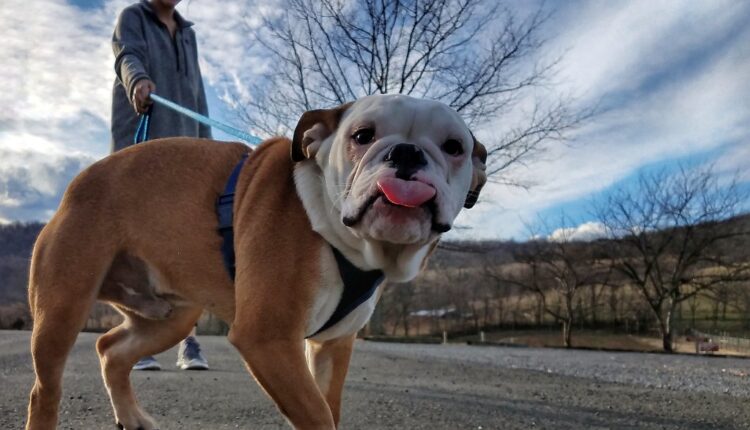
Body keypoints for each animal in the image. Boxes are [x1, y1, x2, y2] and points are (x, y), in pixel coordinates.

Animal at [25, 92, 488, 428]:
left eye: (454, 147)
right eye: (362, 136)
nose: (407, 152)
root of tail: (80, 181)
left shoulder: (332, 346)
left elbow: (328, 403)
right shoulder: (268, 339)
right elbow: (317, 414)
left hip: (171, 318)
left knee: (111, 349)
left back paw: (133, 417)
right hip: (62, 311)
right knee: (45, 390)